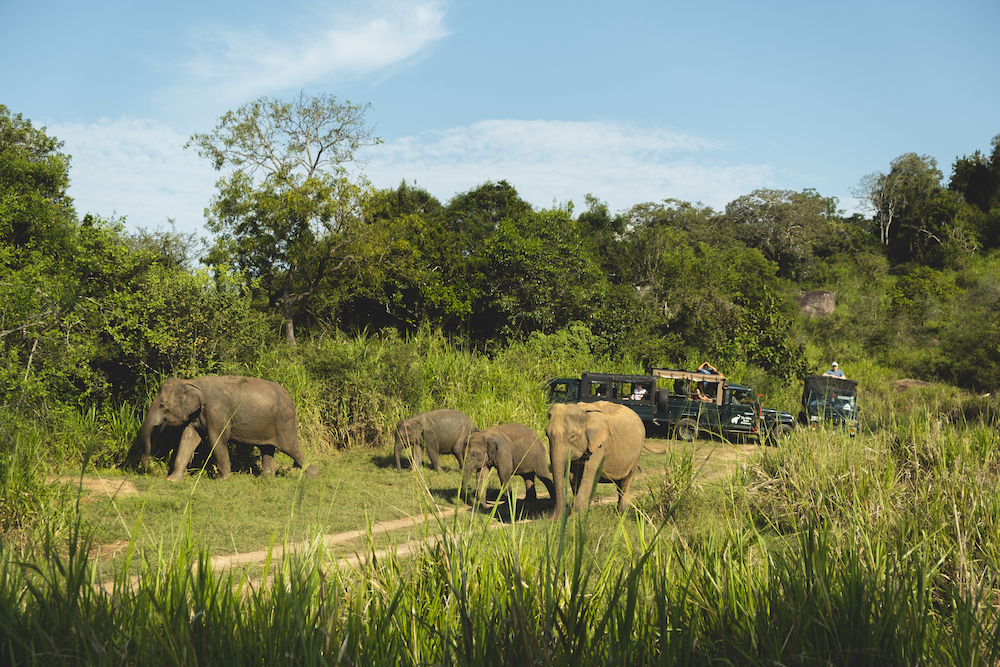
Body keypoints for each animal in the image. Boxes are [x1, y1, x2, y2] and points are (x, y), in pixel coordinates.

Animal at [139, 376, 318, 480]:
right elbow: (189, 438)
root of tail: (290, 397)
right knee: (267, 448)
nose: (147, 464)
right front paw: (172, 479)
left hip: (284, 422)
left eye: (162, 405)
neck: (190, 382)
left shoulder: (217, 411)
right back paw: (265, 478)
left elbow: (217, 439)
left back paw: (312, 475)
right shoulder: (196, 414)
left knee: (290, 448)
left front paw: (221, 480)